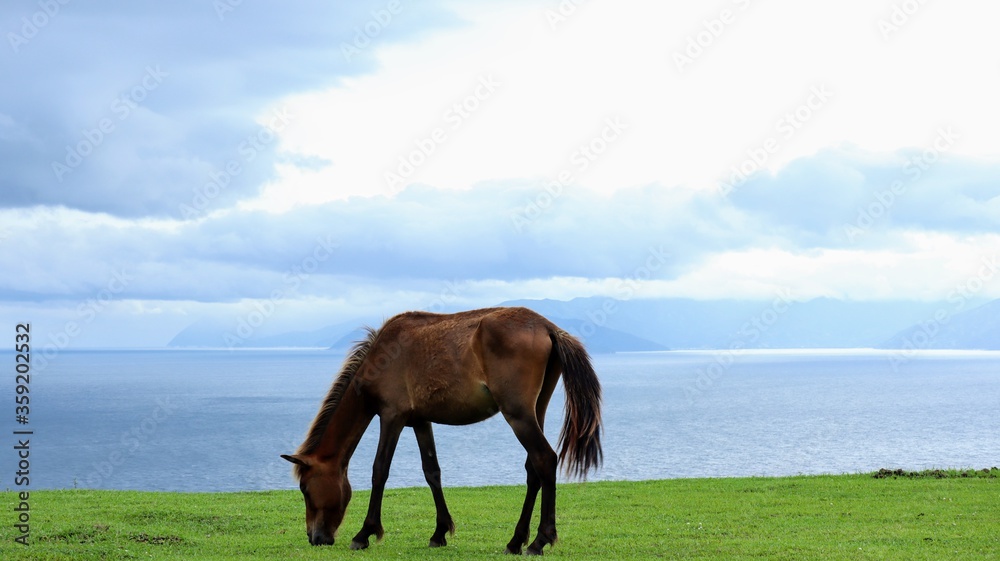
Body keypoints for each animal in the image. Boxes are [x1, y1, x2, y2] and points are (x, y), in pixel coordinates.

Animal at [281, 306, 602, 554]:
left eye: (305, 489)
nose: (315, 538)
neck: (380, 358)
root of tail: (548, 327)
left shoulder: (391, 417)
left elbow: (380, 470)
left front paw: (365, 533)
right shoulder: (421, 422)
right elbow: (431, 472)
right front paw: (440, 532)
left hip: (518, 415)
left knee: (545, 459)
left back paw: (539, 541)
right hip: (536, 409)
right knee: (533, 469)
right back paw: (516, 541)